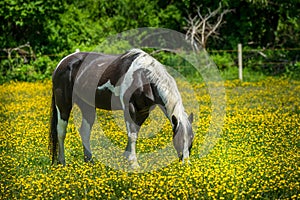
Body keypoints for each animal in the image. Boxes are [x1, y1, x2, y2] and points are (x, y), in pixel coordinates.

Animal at [49, 48, 195, 167]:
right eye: (179, 139)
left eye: (192, 139)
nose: (186, 164)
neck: (142, 77)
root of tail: (63, 62)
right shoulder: (130, 109)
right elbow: (132, 135)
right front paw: (134, 164)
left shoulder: (142, 112)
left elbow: (134, 134)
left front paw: (126, 160)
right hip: (63, 104)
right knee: (61, 131)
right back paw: (62, 162)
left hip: (87, 106)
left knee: (84, 131)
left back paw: (89, 162)